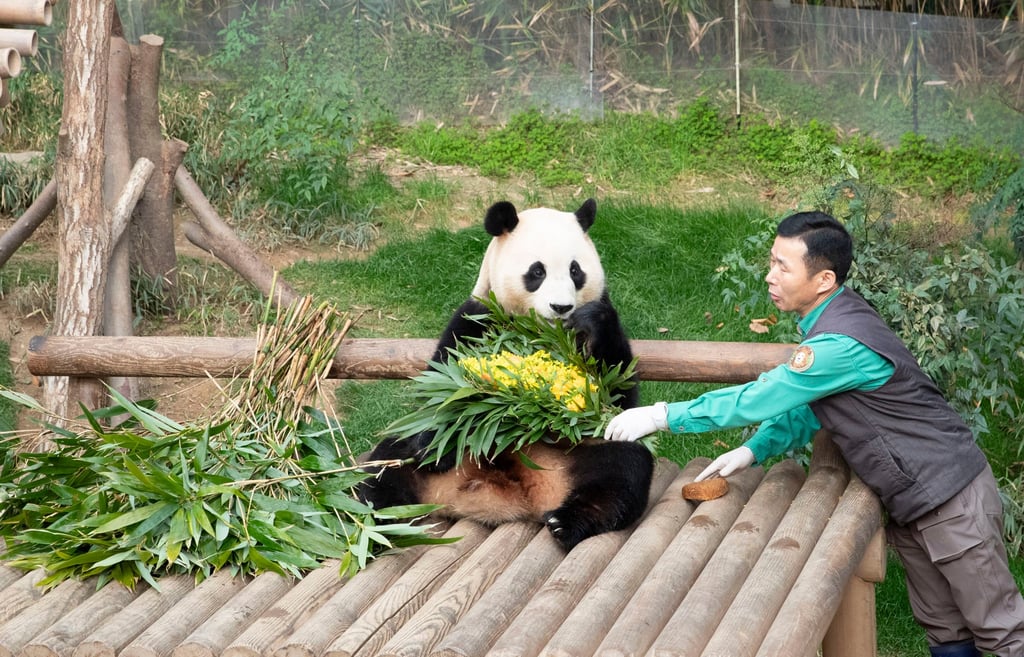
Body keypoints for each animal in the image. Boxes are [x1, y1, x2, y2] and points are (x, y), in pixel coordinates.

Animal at [357, 198, 654, 551]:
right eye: (537, 272)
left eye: (575, 271)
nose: (561, 307)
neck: (538, 333)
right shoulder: (476, 320)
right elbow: (440, 390)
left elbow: (619, 390)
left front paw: (590, 320)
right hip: (415, 456)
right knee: (387, 467)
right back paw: (375, 523)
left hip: (583, 451)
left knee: (622, 470)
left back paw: (567, 523)